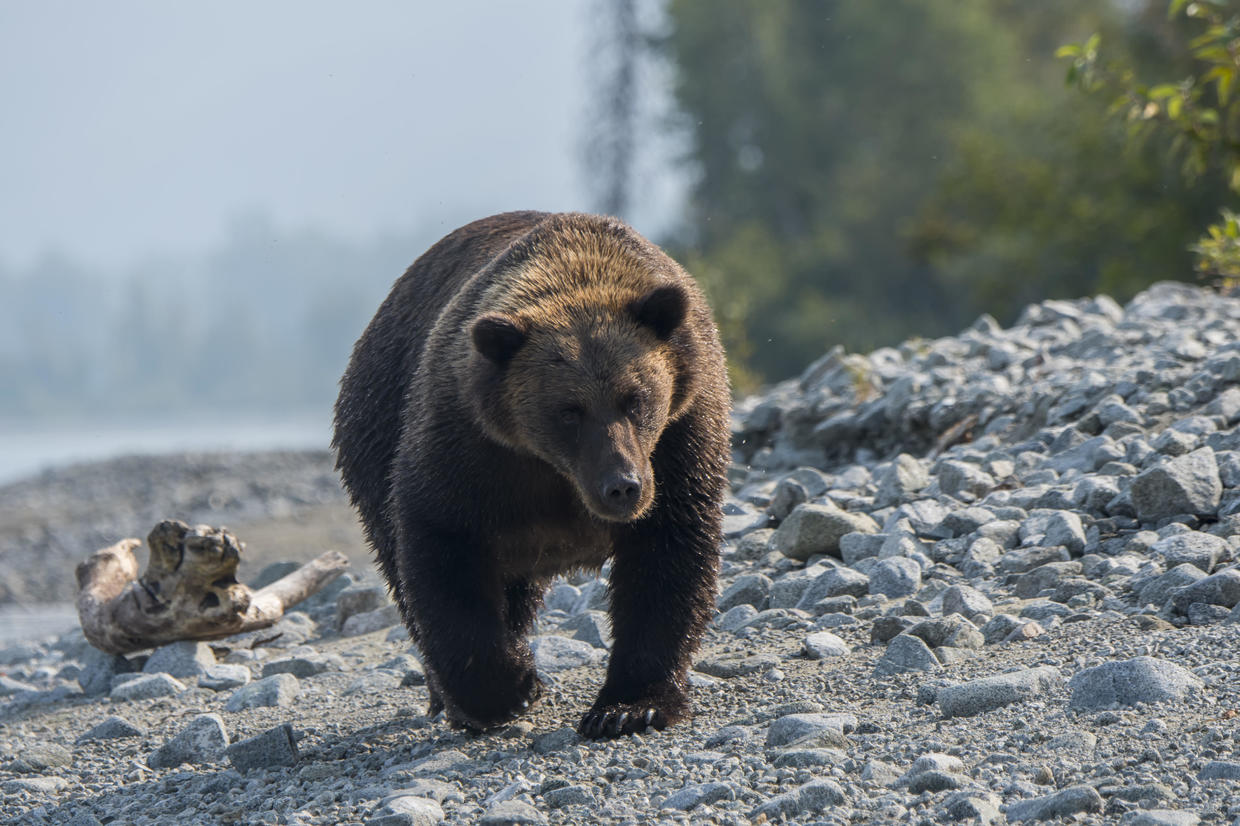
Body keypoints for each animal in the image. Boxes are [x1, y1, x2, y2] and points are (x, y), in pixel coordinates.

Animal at [334, 209, 729, 734]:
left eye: (636, 398)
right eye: (569, 411)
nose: (622, 487)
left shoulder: (680, 432)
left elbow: (668, 552)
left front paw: (629, 707)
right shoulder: (470, 442)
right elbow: (442, 545)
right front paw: (507, 689)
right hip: (375, 424)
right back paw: (447, 696)